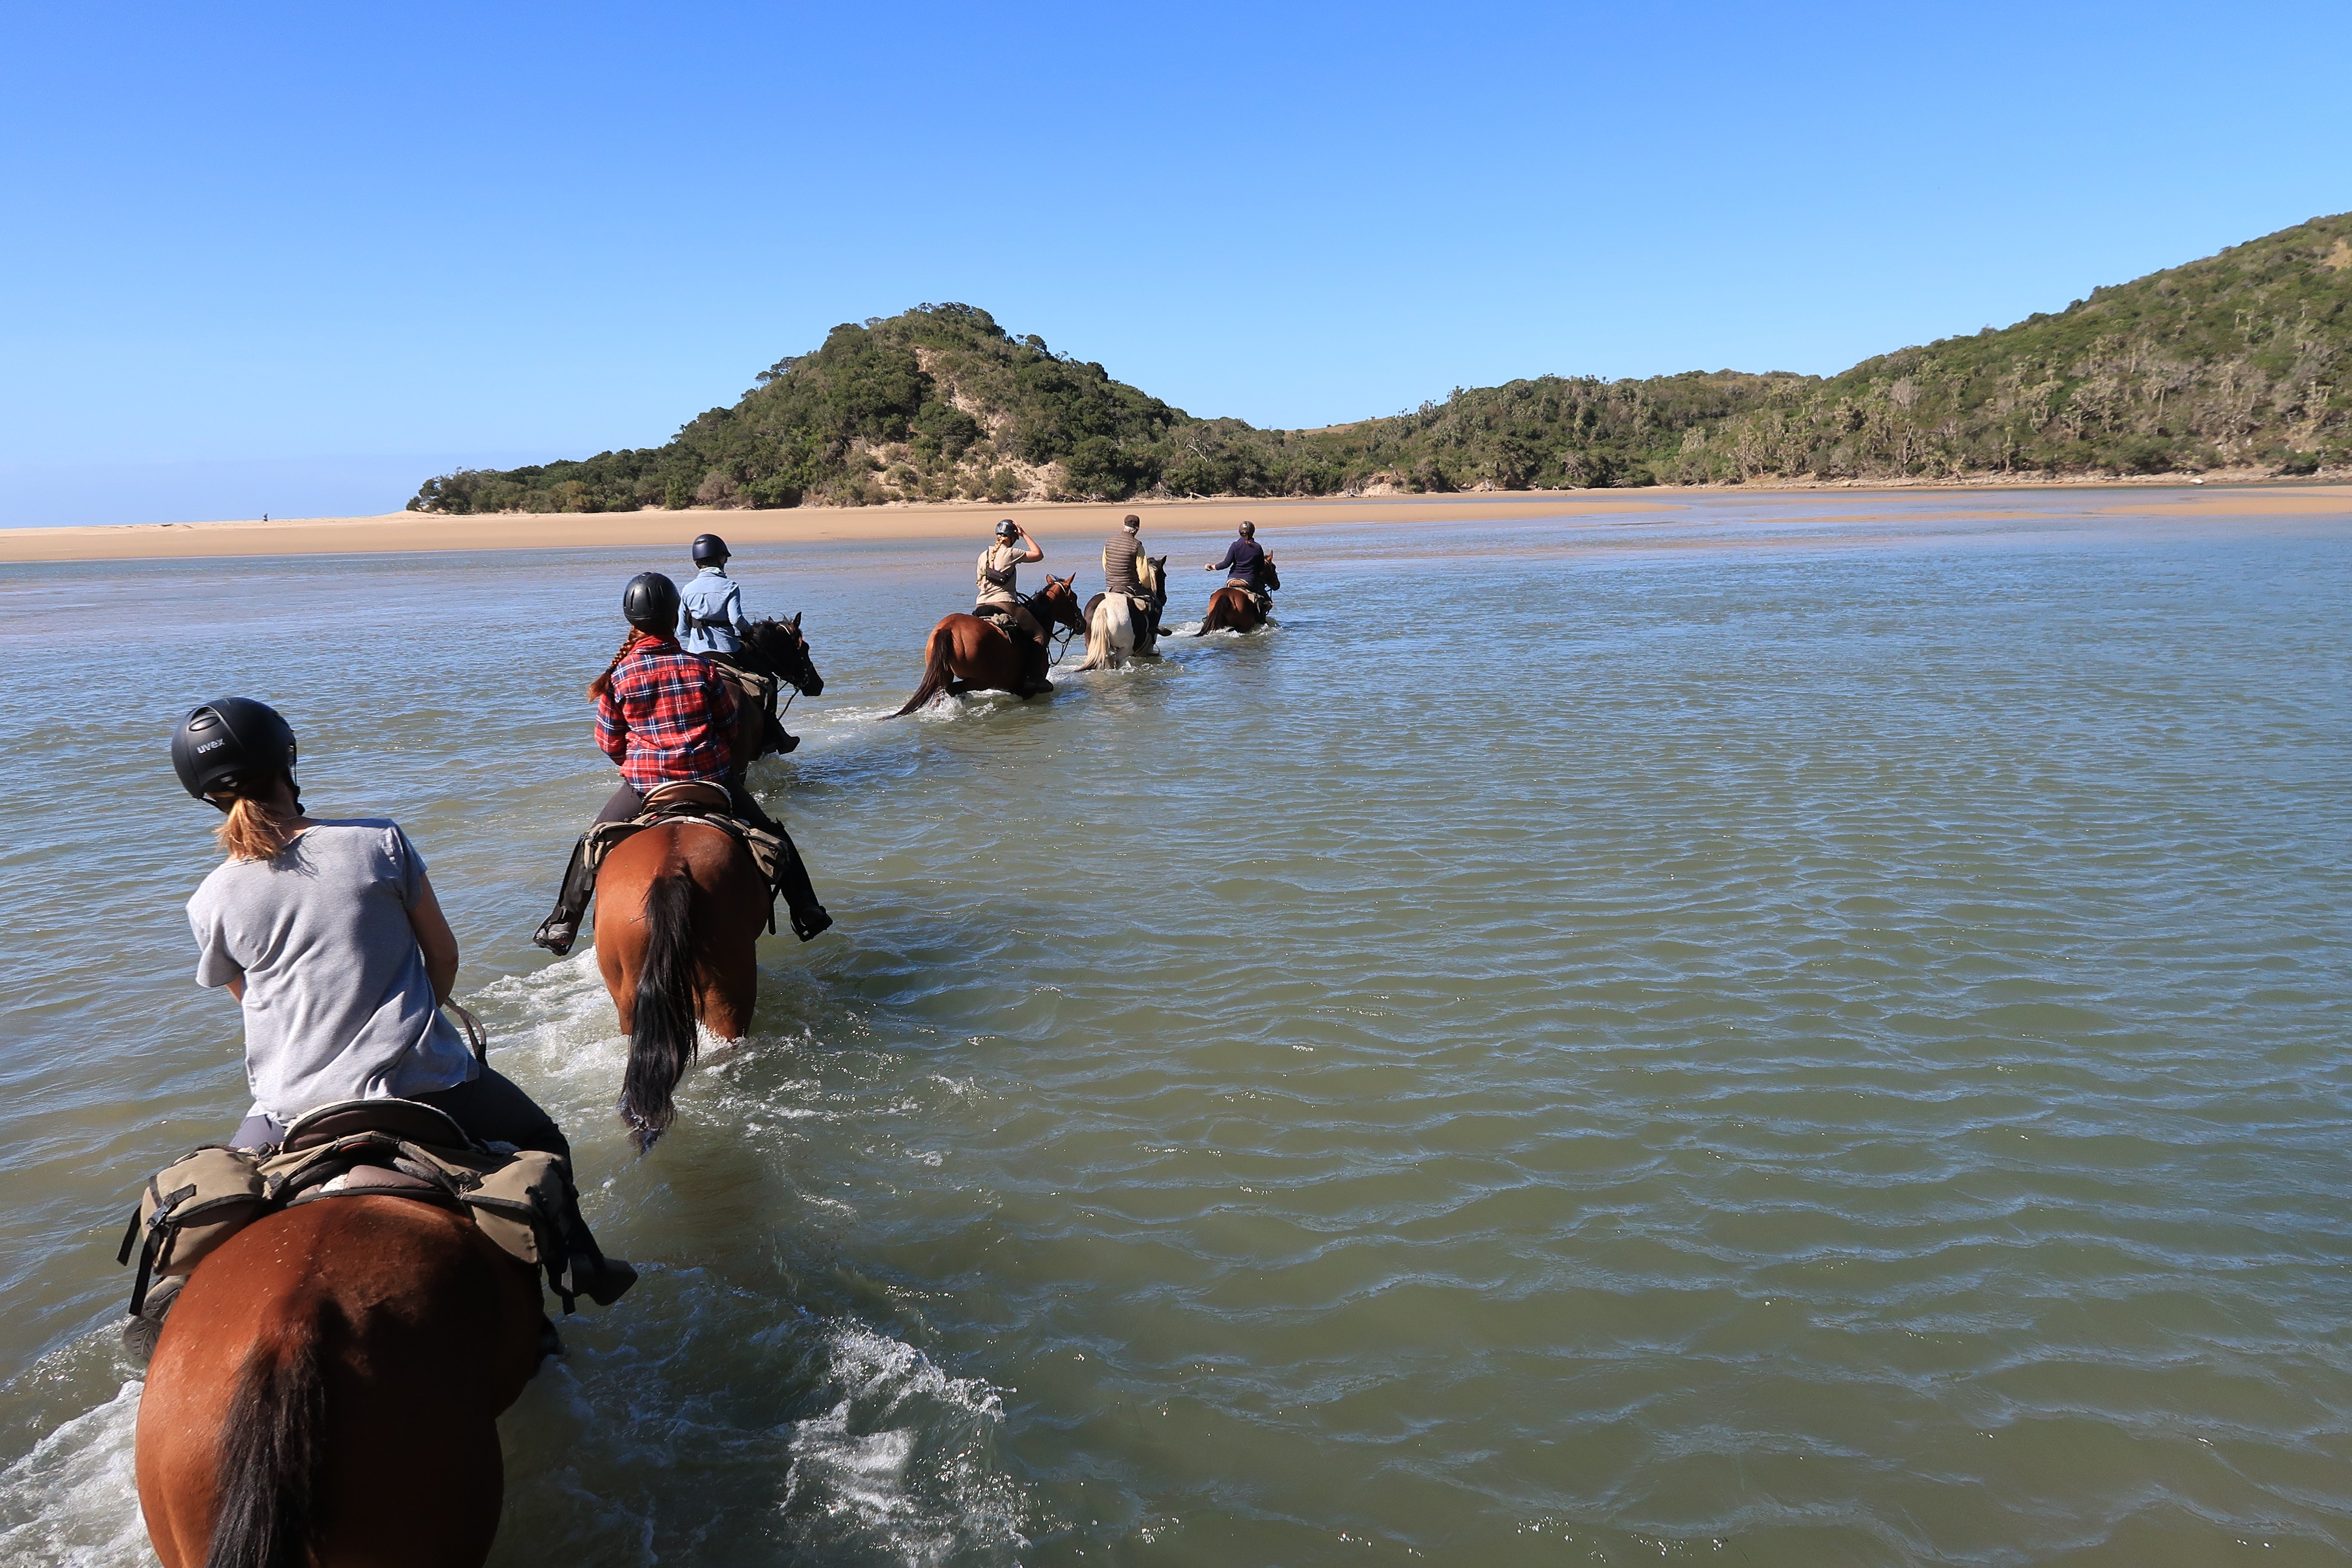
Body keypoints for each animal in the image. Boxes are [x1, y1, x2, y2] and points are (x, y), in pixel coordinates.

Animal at [889, 576, 1091, 719]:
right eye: (1074, 598)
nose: (1082, 624)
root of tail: (949, 627)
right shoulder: (1026, 690)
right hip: (981, 681)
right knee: (953, 690)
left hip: (944, 675)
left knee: (941, 694)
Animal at [1077, 554, 1167, 672]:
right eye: (1164, 576)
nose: (1164, 598)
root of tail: (1103, 607)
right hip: (1126, 648)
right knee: (1113, 660)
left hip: (1095, 645)